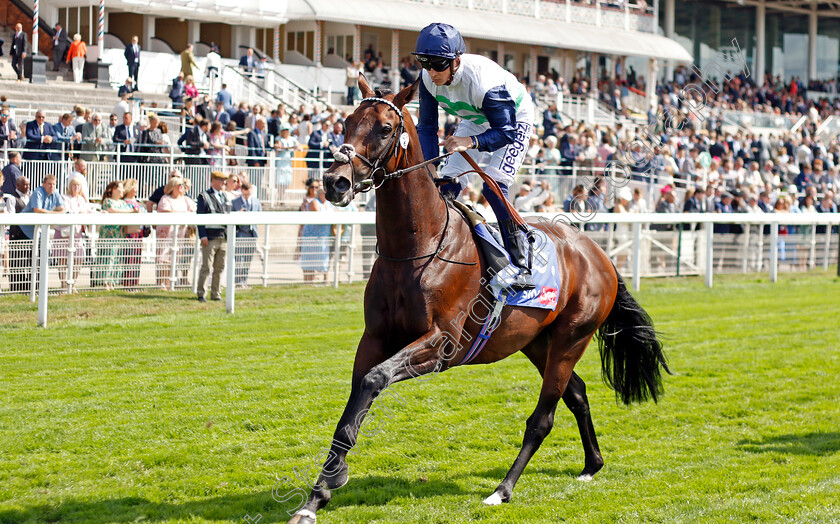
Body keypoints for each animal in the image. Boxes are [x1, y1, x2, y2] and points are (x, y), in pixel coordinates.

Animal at [286, 74, 668, 524]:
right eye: (345, 123)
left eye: (384, 128)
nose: (335, 182)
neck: (418, 247)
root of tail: (598, 254)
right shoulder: (374, 338)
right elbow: (353, 403)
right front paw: (317, 495)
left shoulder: (441, 344)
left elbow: (374, 380)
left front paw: (328, 484)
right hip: (536, 341)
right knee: (576, 393)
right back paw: (592, 464)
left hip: (572, 337)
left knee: (544, 417)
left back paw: (502, 489)